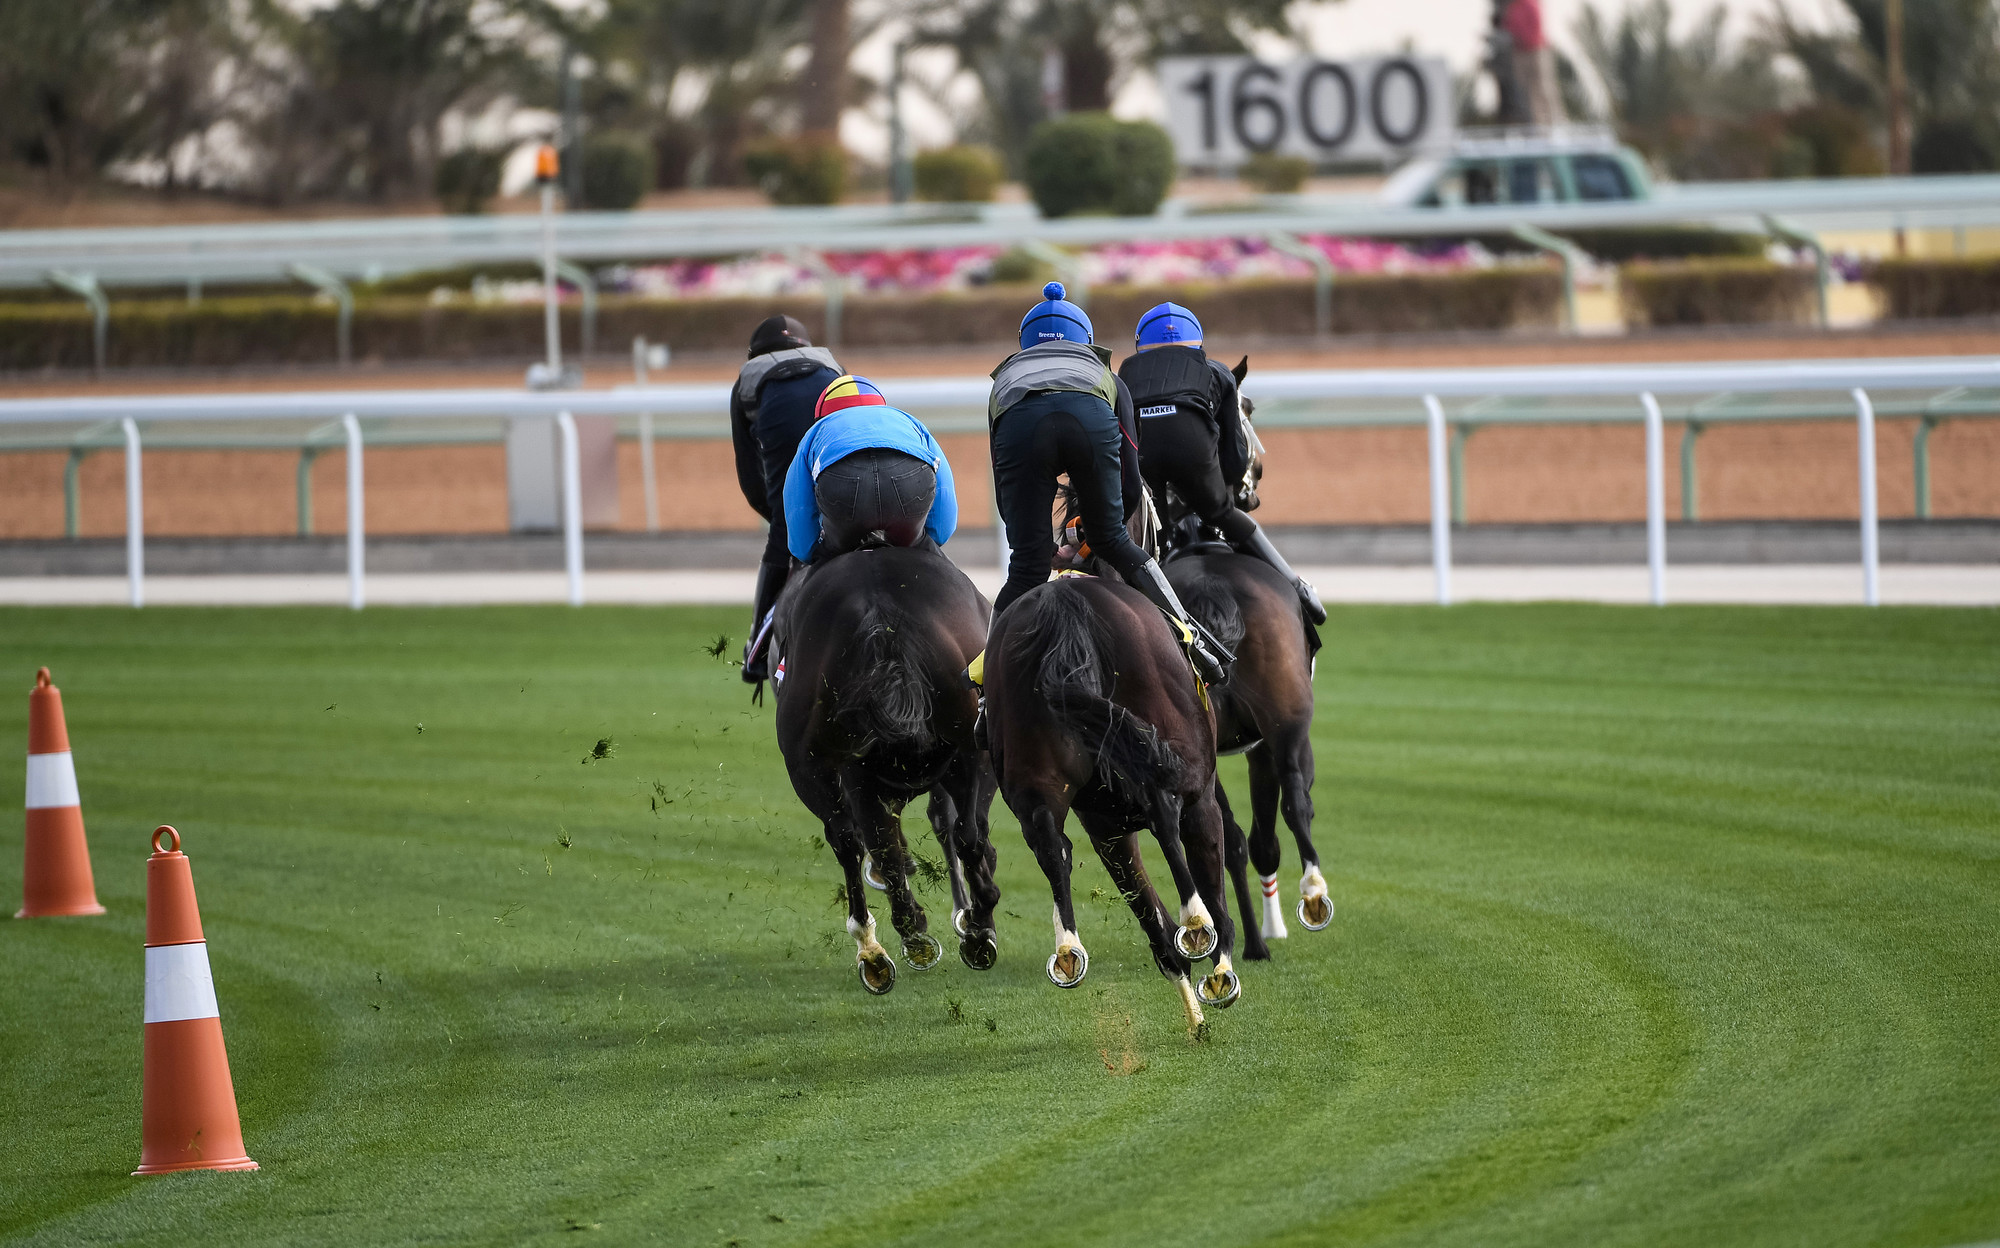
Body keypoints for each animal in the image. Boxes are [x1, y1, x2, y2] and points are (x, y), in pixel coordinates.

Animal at [776, 544, 1008, 996]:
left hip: (824, 766)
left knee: (852, 839)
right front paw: (973, 914)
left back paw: (882, 946)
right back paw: (970, 927)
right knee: (964, 834)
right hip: (966, 747)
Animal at [980, 572, 1240, 1032]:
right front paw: (1219, 972)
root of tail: (1062, 602)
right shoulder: (1201, 798)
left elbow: (1148, 912)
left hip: (1034, 781)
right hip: (1182, 764)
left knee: (1049, 841)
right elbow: (1207, 876)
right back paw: (1196, 925)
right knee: (1164, 809)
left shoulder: (1105, 827)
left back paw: (1068, 949)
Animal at [1160, 356, 1328, 960]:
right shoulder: (1258, 744)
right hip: (1285, 720)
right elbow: (1259, 836)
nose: (1259, 466)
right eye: (1246, 407)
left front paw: (1252, 936)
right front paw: (1266, 933)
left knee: (1225, 829)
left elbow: (1235, 838)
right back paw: (1311, 893)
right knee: (1295, 801)